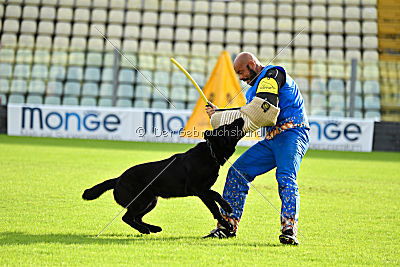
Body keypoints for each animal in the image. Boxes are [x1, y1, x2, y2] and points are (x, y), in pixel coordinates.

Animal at [82, 119, 244, 234]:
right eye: (227, 127)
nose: (241, 117)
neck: (210, 153)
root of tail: (118, 179)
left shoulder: (203, 190)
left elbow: (215, 198)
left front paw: (226, 213)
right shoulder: (199, 189)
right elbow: (215, 204)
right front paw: (227, 218)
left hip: (151, 201)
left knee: (136, 217)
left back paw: (152, 228)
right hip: (142, 200)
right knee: (127, 217)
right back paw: (145, 229)